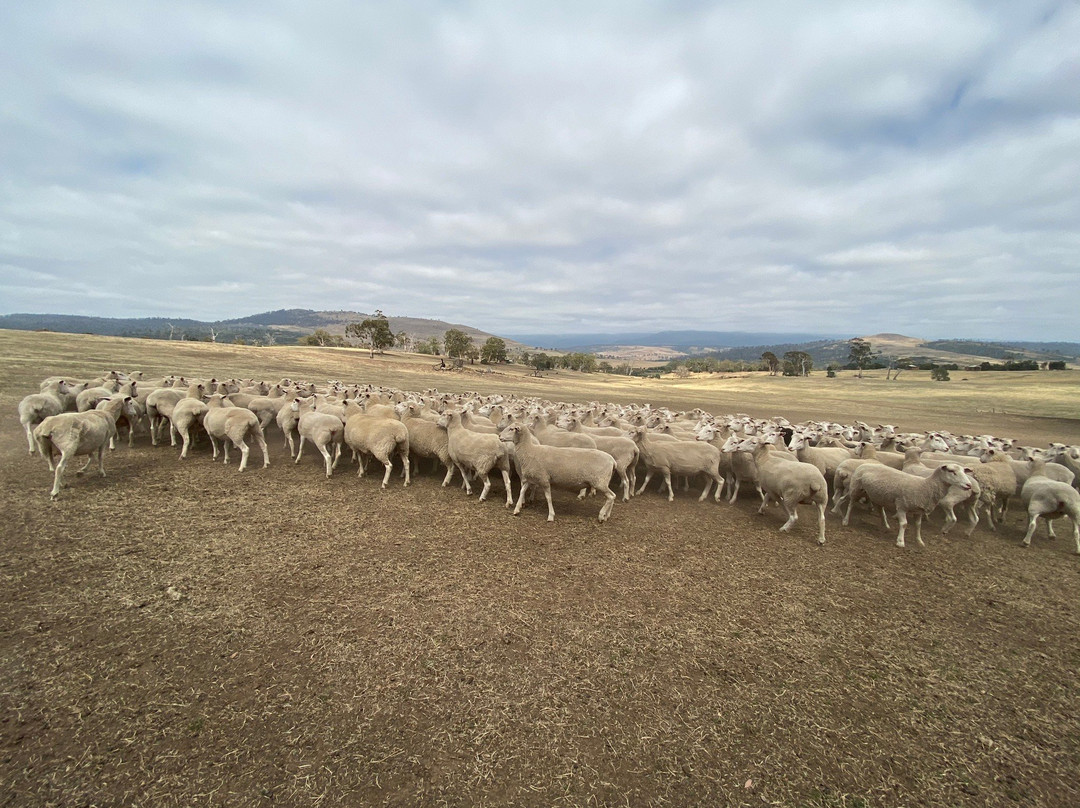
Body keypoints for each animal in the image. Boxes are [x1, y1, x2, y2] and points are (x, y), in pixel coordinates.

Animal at [843, 463, 974, 548]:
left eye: (964, 471)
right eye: (952, 471)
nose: (969, 485)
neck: (926, 486)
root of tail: (864, 464)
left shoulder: (918, 511)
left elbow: (918, 525)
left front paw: (920, 541)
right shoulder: (901, 506)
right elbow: (904, 524)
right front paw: (900, 541)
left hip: (877, 495)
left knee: (880, 509)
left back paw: (885, 525)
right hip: (856, 488)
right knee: (850, 504)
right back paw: (845, 520)